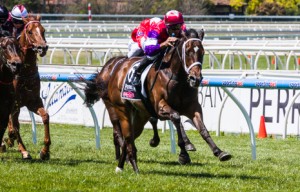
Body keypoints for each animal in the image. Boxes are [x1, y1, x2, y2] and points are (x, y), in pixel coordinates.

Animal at [3, 14, 49, 159]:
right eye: (29, 32)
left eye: (43, 30)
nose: (42, 47)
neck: (25, 72)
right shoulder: (14, 105)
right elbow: (15, 127)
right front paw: (23, 150)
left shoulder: (33, 101)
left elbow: (46, 117)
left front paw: (45, 151)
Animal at [84, 29, 232, 172]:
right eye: (188, 51)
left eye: (202, 52)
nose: (195, 78)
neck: (176, 77)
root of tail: (112, 67)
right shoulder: (160, 107)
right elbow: (176, 118)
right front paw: (184, 153)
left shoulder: (193, 107)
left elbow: (202, 128)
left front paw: (219, 152)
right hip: (116, 108)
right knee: (120, 132)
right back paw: (125, 162)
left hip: (139, 115)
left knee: (129, 136)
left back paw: (123, 163)